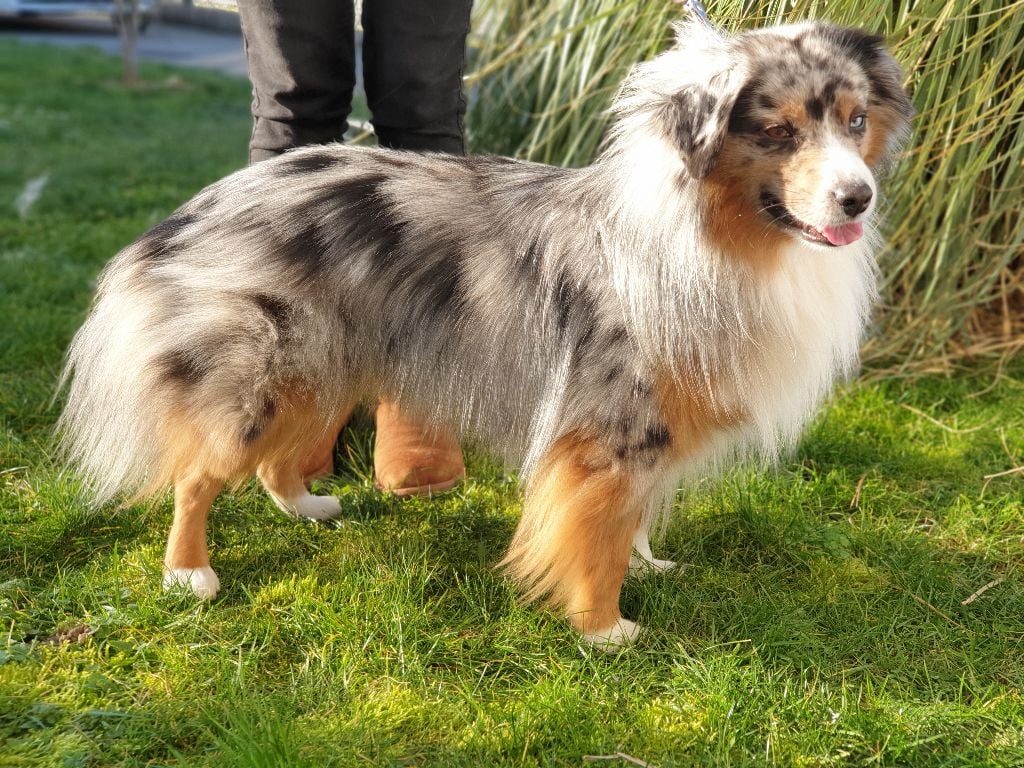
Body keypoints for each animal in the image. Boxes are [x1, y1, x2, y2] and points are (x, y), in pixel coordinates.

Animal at [59, 19, 913, 651]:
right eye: (777, 133)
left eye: (856, 122)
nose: (858, 198)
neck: (711, 234)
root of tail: (199, 206)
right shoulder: (610, 426)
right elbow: (598, 528)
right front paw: (605, 626)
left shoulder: (648, 428)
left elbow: (630, 517)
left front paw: (647, 564)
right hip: (263, 364)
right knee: (198, 473)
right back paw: (189, 573)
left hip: (324, 358)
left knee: (276, 454)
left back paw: (304, 505)